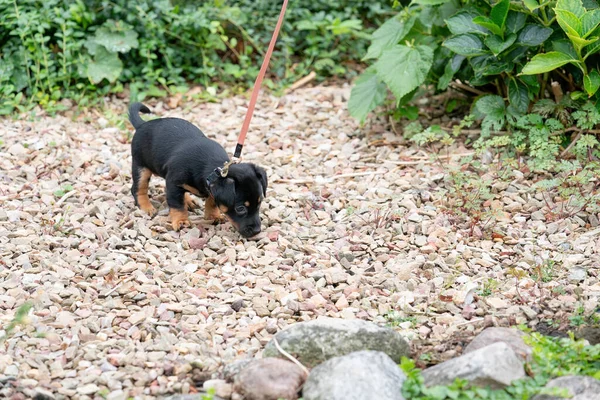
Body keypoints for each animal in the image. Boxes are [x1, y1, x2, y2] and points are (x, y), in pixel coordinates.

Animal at [128, 101, 268, 238]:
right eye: (240, 208)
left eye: (260, 203)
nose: (257, 231)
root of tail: (142, 124)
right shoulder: (173, 183)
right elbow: (177, 204)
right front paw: (181, 221)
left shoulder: (208, 187)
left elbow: (212, 201)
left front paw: (213, 215)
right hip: (141, 167)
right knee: (138, 189)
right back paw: (146, 207)